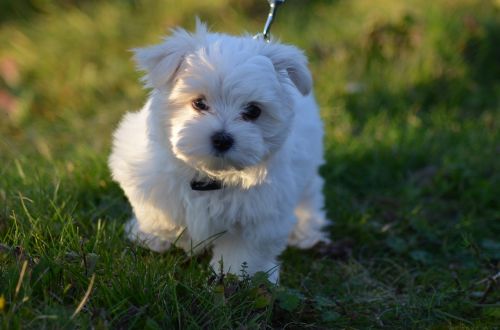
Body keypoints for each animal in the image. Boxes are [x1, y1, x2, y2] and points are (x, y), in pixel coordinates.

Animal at [107, 21, 330, 282]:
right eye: (199, 103)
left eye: (253, 111)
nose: (222, 139)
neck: (211, 176)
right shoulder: (147, 174)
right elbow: (159, 213)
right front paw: (155, 237)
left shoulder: (260, 212)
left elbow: (244, 249)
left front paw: (236, 275)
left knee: (310, 195)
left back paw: (306, 232)